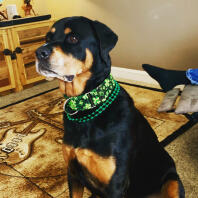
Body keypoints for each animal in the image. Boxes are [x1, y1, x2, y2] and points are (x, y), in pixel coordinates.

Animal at [35, 17, 184, 198]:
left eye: (73, 38)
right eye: (47, 38)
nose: (39, 52)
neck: (87, 106)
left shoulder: (115, 184)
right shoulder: (73, 174)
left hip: (172, 181)